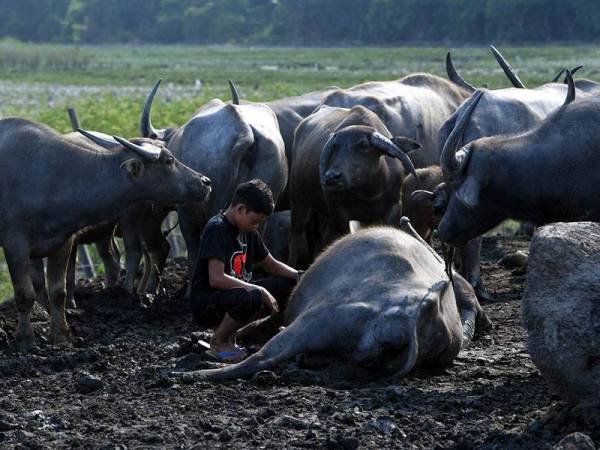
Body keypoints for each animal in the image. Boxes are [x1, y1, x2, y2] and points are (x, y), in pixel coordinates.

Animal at [0, 119, 211, 352]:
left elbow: (58, 291)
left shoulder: (63, 241)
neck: (54, 178)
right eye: (169, 160)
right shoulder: (15, 244)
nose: (205, 181)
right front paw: (25, 340)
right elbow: (24, 294)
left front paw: (61, 335)